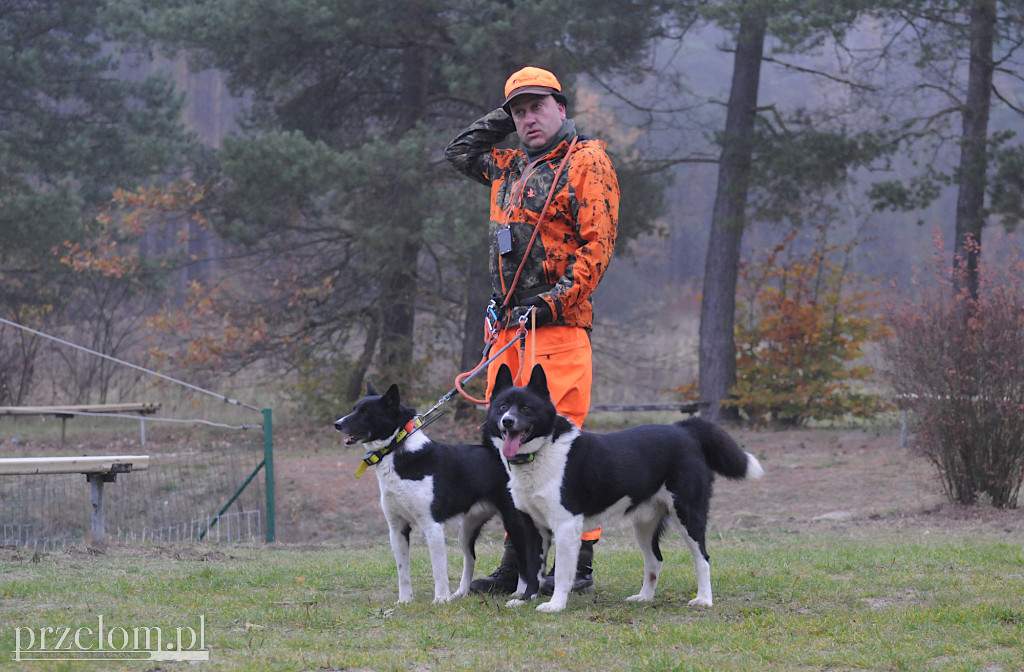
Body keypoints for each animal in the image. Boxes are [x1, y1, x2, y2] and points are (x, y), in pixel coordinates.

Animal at [335, 381, 544, 606]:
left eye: (365, 413)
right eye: (355, 409)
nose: (337, 424)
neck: (398, 449)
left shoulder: (432, 525)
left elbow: (439, 569)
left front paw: (441, 600)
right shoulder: (397, 528)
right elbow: (403, 571)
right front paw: (405, 601)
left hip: (514, 523)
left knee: (524, 558)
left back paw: (519, 593)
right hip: (467, 529)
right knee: (470, 559)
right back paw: (461, 592)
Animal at [483, 364, 765, 610]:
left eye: (526, 408)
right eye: (502, 406)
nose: (507, 421)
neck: (543, 451)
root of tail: (684, 430)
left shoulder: (566, 525)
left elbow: (562, 572)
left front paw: (555, 605)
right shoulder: (533, 526)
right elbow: (531, 568)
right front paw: (525, 599)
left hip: (687, 515)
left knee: (702, 559)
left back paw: (704, 600)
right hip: (645, 523)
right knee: (655, 561)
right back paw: (644, 597)